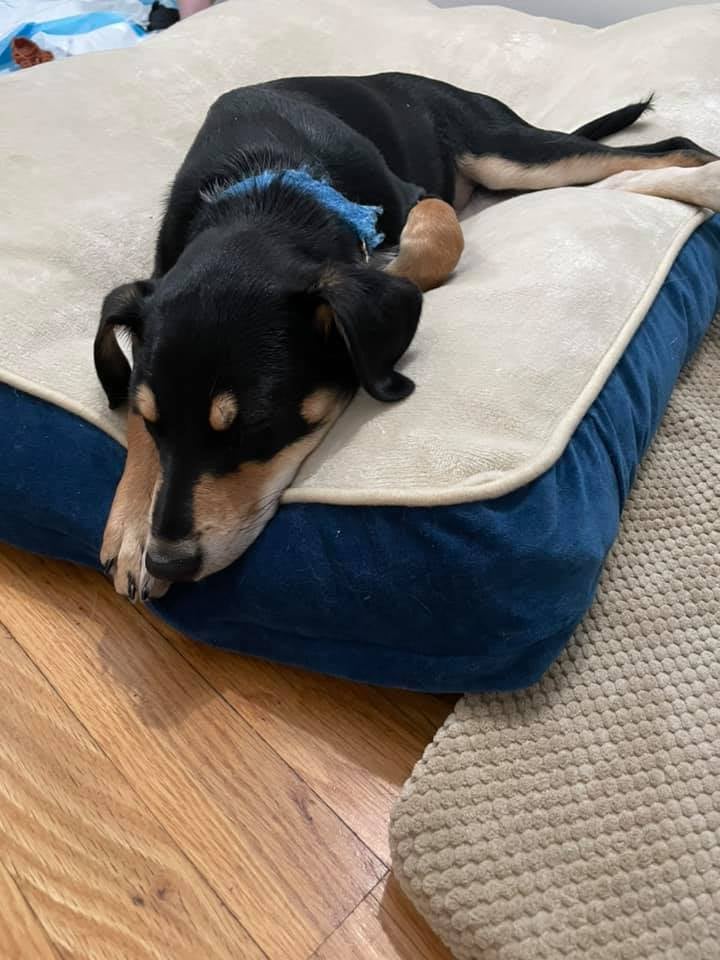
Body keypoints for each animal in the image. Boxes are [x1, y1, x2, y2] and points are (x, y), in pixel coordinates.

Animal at [95, 73, 720, 600]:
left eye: (258, 426)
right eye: (153, 422)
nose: (169, 561)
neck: (264, 187)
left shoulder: (415, 197)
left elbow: (437, 241)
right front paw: (131, 526)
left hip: (510, 155)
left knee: (676, 145)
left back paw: (689, 177)